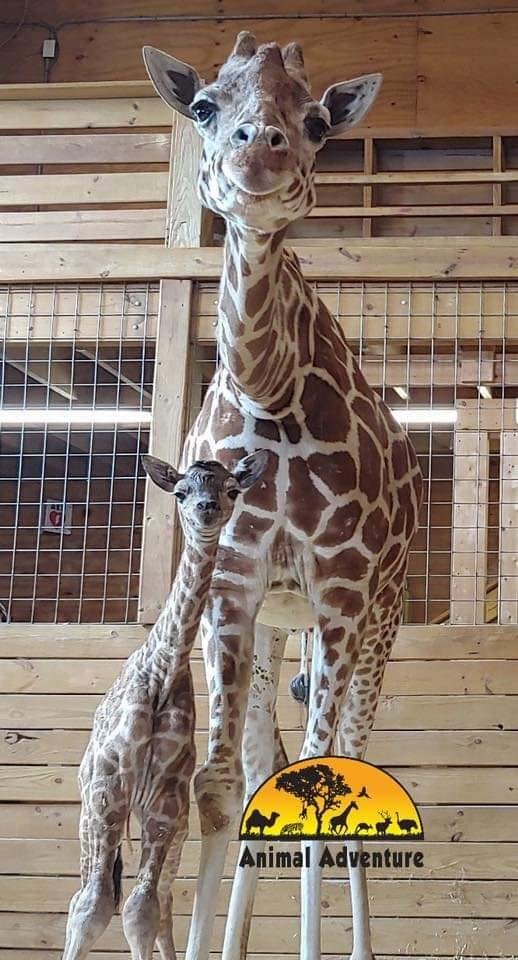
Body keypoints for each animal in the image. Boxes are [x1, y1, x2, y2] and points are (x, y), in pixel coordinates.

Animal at [61, 451, 268, 960]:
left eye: (232, 489)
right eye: (180, 492)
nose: (207, 508)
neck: (161, 671)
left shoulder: (165, 802)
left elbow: (142, 910)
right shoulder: (109, 789)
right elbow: (94, 906)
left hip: (175, 830)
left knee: (164, 901)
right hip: (89, 815)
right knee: (83, 896)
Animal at [144, 33, 423, 960]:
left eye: (315, 123)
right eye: (203, 108)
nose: (256, 153)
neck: (270, 387)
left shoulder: (341, 587)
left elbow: (324, 780)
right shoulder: (232, 587)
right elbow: (221, 783)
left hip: (379, 620)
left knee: (351, 756)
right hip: (278, 626)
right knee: (267, 767)